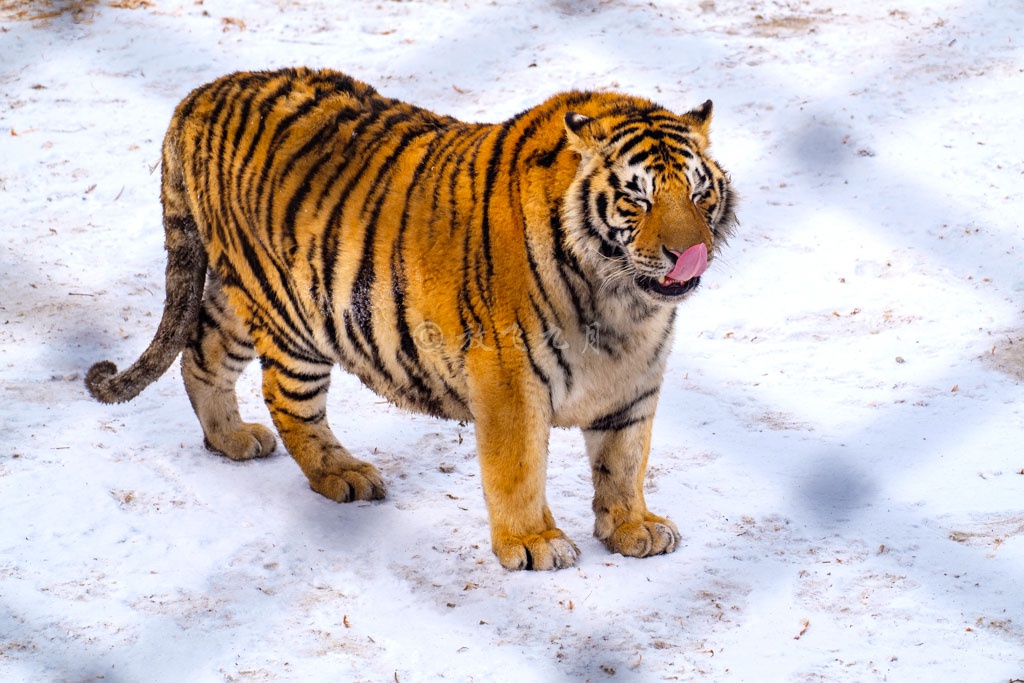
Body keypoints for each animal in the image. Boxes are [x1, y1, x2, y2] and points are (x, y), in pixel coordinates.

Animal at [86, 67, 736, 571]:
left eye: (699, 195)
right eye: (637, 198)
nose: (688, 253)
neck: (623, 301)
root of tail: (200, 94)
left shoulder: (634, 379)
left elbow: (624, 460)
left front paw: (632, 528)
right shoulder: (509, 377)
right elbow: (519, 468)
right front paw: (533, 543)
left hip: (241, 295)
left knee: (201, 349)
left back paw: (230, 438)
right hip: (291, 313)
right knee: (286, 399)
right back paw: (341, 474)